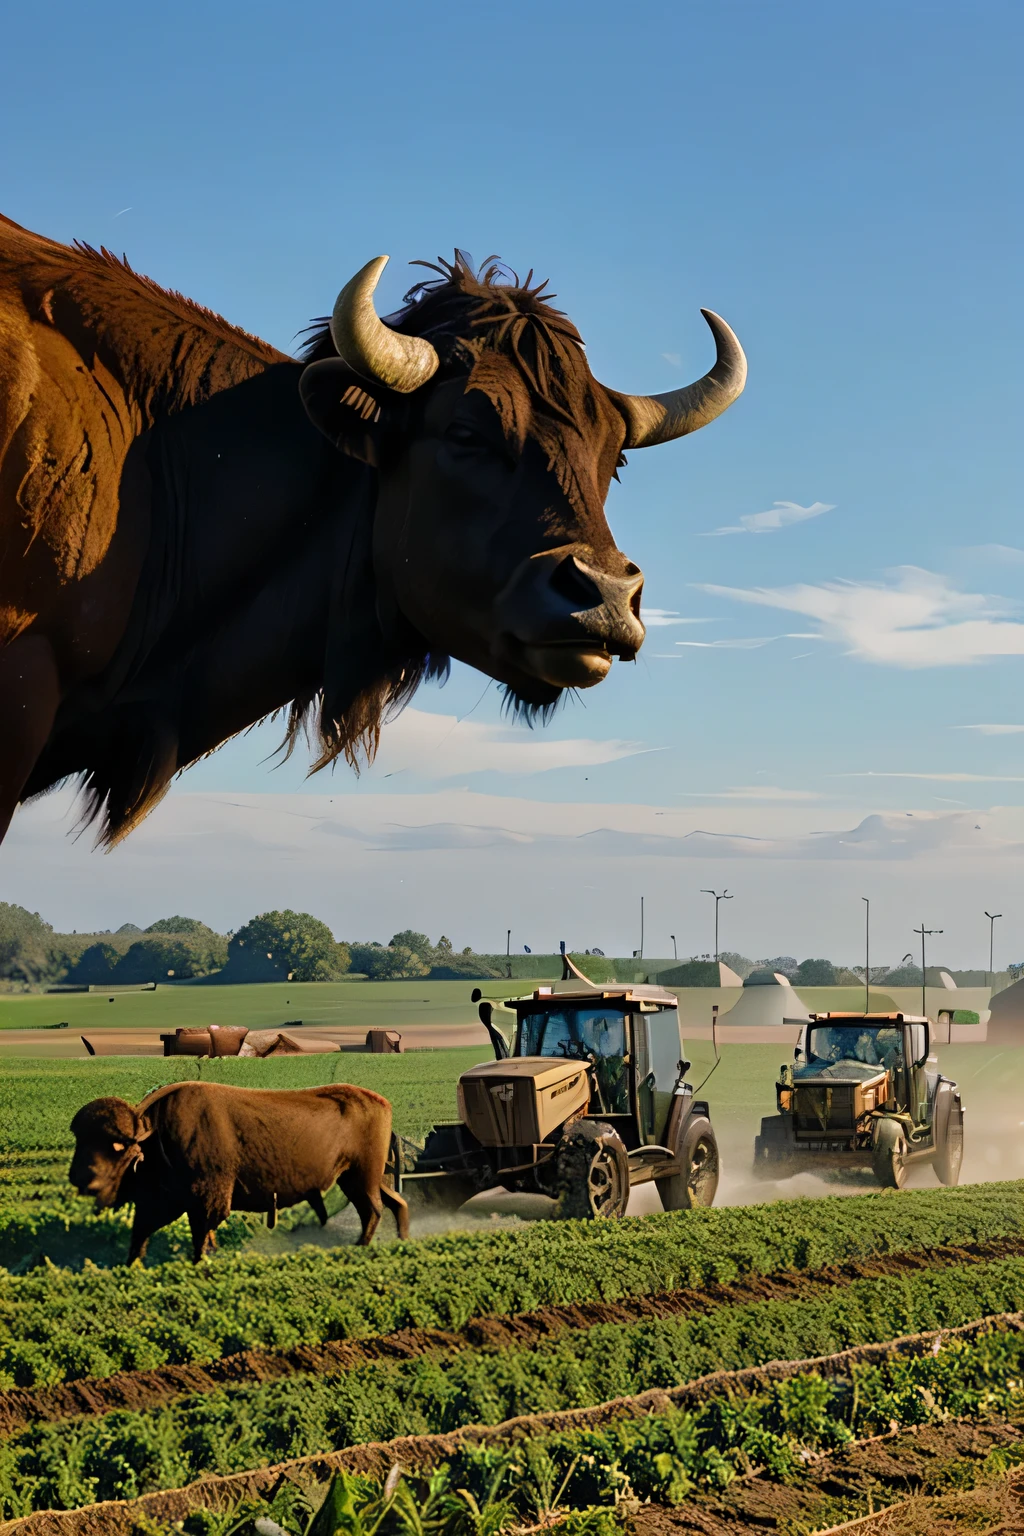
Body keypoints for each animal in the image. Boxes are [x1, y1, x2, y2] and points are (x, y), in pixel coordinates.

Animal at [67, 1081, 408, 1259]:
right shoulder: (165, 1201)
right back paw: (402, 1242)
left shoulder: (206, 1199)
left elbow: (200, 1235)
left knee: (374, 1210)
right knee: (395, 1203)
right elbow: (142, 1234)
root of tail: (382, 1103)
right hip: (358, 1178)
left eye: (116, 1146)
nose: (80, 1179)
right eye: (79, 1140)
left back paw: (358, 1250)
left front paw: (201, 1263)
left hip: (362, 1177)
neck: (155, 1133)